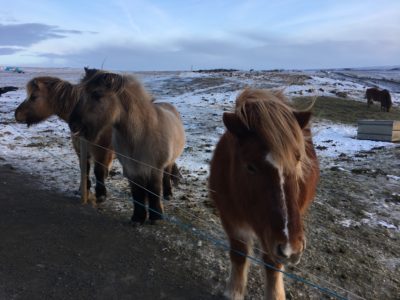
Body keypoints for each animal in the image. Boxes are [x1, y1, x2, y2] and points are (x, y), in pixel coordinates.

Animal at [14, 72, 114, 204]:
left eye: (34, 96)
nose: (16, 114)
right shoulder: (79, 147)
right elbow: (84, 168)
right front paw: (84, 188)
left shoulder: (102, 150)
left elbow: (98, 170)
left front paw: (101, 194)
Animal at [69, 69, 186, 224]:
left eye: (97, 94)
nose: (73, 125)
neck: (141, 134)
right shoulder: (131, 168)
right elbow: (137, 193)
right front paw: (138, 218)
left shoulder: (154, 168)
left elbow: (154, 191)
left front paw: (156, 217)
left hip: (168, 162)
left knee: (167, 175)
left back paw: (168, 194)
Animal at [209, 89, 318, 300]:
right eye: (250, 166)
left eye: (298, 160)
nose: (292, 248)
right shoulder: (230, 219)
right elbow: (239, 254)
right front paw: (234, 291)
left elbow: (273, 263)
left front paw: (275, 295)